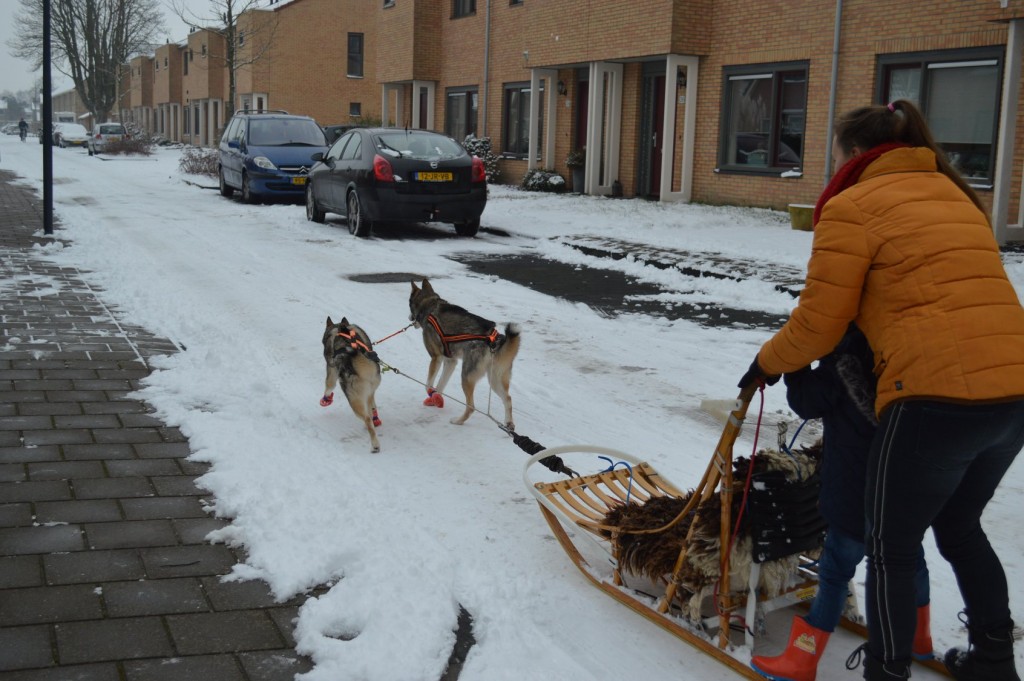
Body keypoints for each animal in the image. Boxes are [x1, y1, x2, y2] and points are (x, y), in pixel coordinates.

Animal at [317, 317, 382, 450]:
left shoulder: (331, 369)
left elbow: (329, 385)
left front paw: (326, 399)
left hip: (353, 399)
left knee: (367, 418)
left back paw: (375, 444)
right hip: (370, 390)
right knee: (371, 407)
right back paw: (375, 420)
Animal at [407, 278, 520, 428]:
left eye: (409, 305)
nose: (409, 318)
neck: (430, 305)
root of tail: (494, 339)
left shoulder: (436, 358)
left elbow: (428, 385)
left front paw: (432, 394)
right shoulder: (450, 361)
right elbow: (440, 384)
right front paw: (436, 399)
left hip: (466, 377)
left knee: (471, 406)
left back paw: (458, 421)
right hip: (495, 380)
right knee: (508, 398)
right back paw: (509, 423)